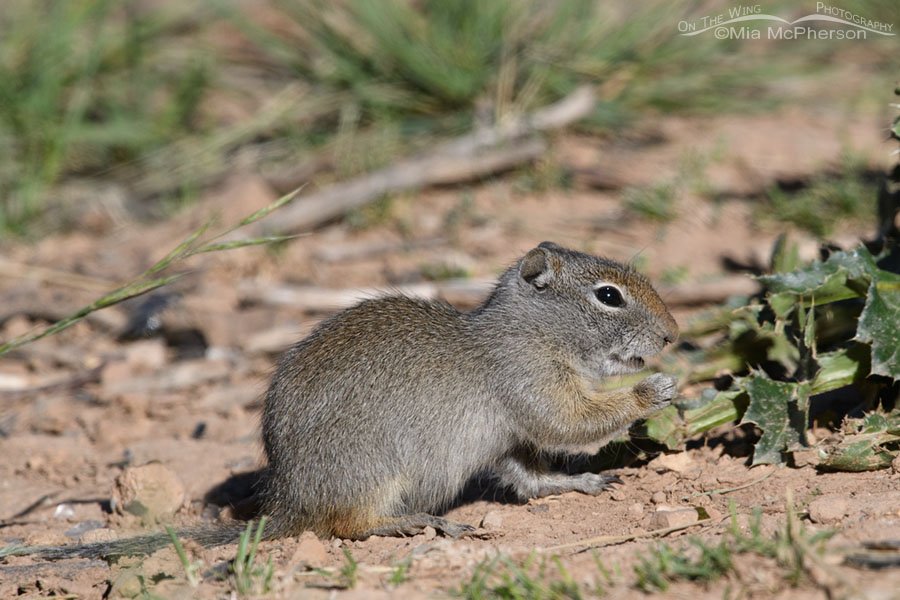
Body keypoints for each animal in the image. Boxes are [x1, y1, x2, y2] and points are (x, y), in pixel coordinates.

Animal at [2, 241, 678, 559]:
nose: (674, 335)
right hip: (377, 471)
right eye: (609, 296)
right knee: (345, 526)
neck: (526, 330)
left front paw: (580, 482)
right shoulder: (533, 389)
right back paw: (413, 522)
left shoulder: (510, 439)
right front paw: (656, 389)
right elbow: (573, 421)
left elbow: (531, 477)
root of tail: (290, 503)